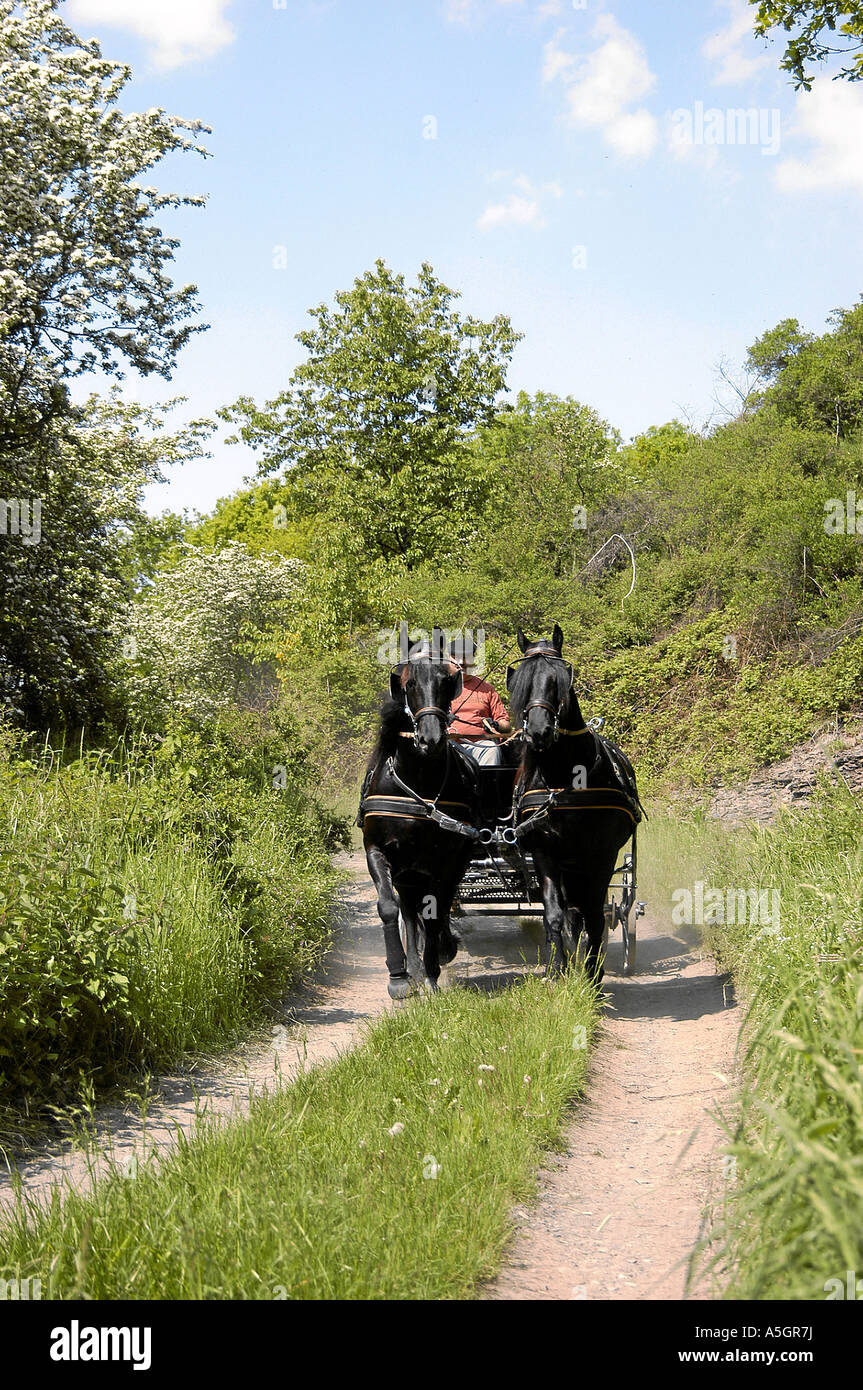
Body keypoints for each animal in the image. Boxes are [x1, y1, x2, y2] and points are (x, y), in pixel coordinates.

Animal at [355, 653, 478, 995]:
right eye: (409, 685)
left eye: (446, 682)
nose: (431, 738)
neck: (417, 784)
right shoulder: (377, 851)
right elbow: (389, 907)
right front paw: (398, 977)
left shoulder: (444, 860)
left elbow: (435, 912)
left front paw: (434, 972)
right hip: (407, 870)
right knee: (410, 911)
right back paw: (413, 964)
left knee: (437, 905)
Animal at [505, 625, 639, 984]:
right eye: (520, 680)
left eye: (559, 679)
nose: (538, 731)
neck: (563, 778)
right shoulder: (545, 852)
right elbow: (553, 913)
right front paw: (556, 971)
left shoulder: (601, 854)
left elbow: (595, 914)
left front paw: (594, 975)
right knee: (570, 911)